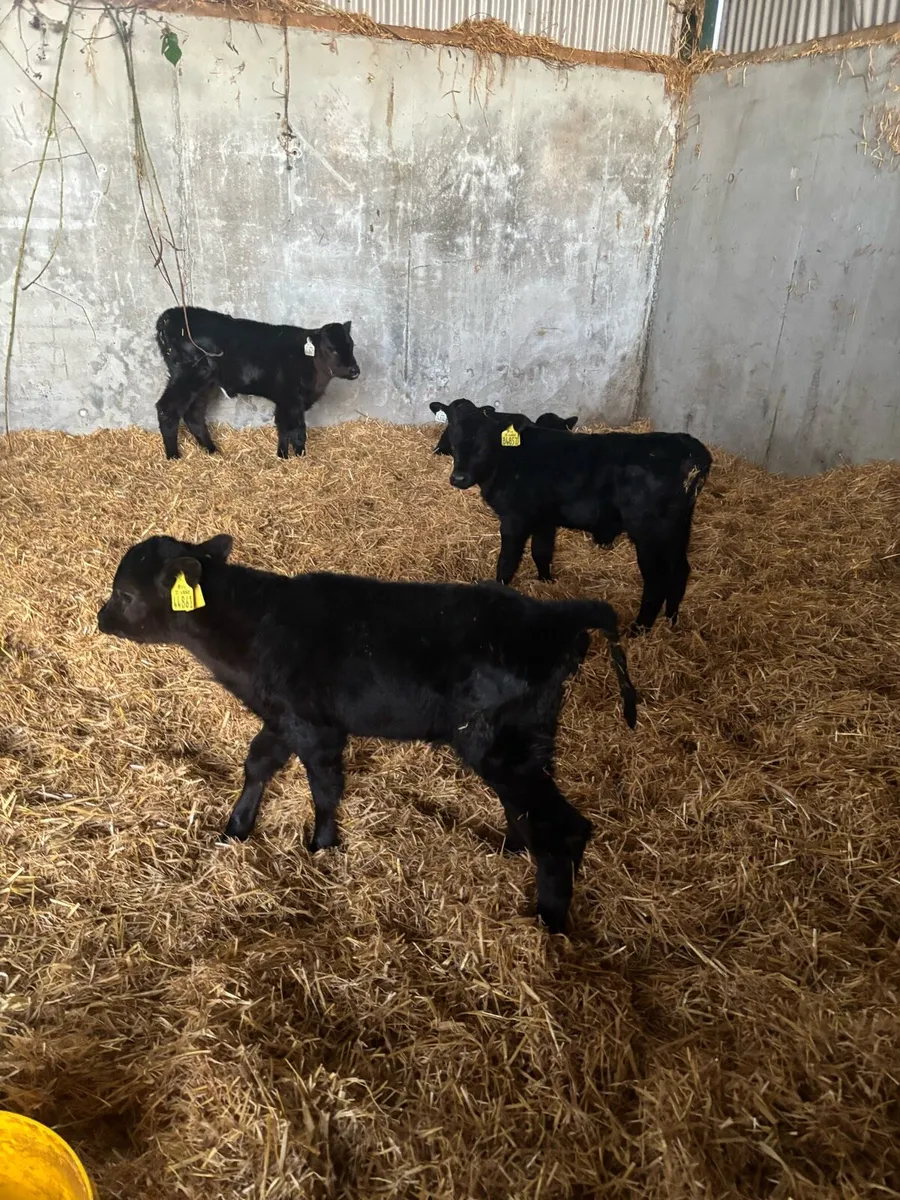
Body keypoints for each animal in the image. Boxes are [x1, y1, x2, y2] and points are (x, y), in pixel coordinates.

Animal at [97, 535, 638, 933]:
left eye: (125, 594)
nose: (102, 618)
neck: (255, 630)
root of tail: (555, 616)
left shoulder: (316, 727)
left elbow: (324, 787)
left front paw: (321, 846)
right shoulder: (282, 719)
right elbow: (258, 763)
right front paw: (236, 828)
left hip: (500, 746)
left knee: (564, 827)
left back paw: (549, 926)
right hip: (524, 744)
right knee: (527, 811)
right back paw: (511, 851)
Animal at [153, 307, 360, 460]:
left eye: (351, 345)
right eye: (332, 349)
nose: (354, 370)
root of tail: (167, 317)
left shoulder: (286, 401)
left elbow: (284, 427)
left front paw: (283, 455)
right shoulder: (291, 399)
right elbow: (297, 429)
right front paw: (298, 456)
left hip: (205, 384)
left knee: (194, 414)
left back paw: (212, 451)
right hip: (187, 375)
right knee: (167, 409)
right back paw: (173, 456)